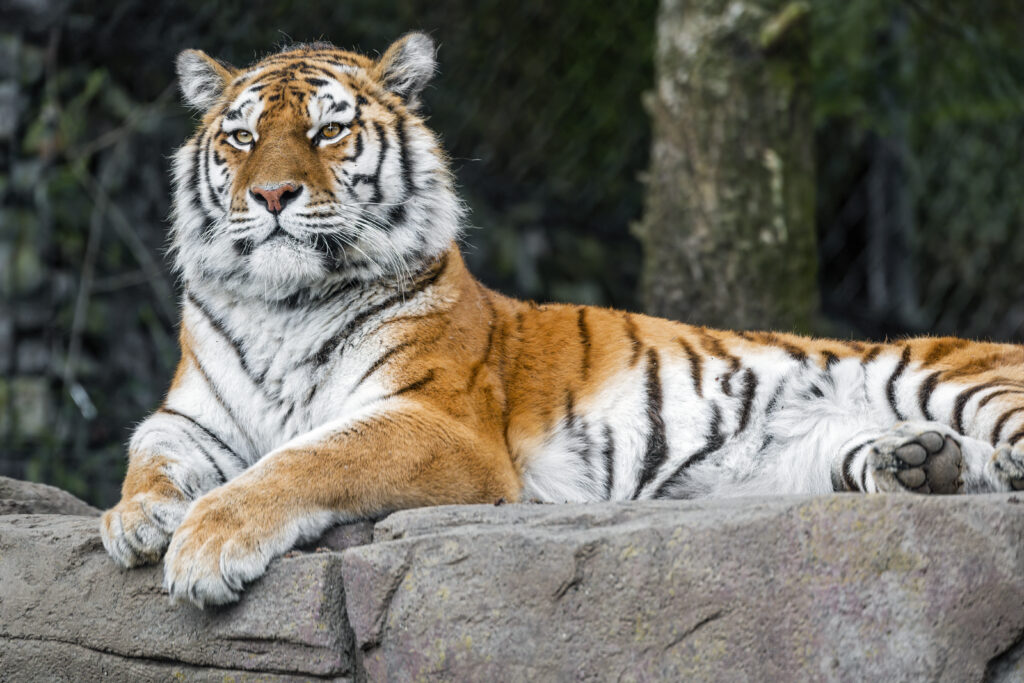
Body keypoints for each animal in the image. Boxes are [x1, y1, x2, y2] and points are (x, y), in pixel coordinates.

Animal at [100, 32, 1024, 608]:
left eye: (329, 131)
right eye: (241, 137)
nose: (272, 194)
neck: (283, 305)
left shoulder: (435, 420)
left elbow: (306, 458)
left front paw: (206, 545)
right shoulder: (190, 414)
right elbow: (151, 454)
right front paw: (136, 520)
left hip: (939, 370)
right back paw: (920, 464)